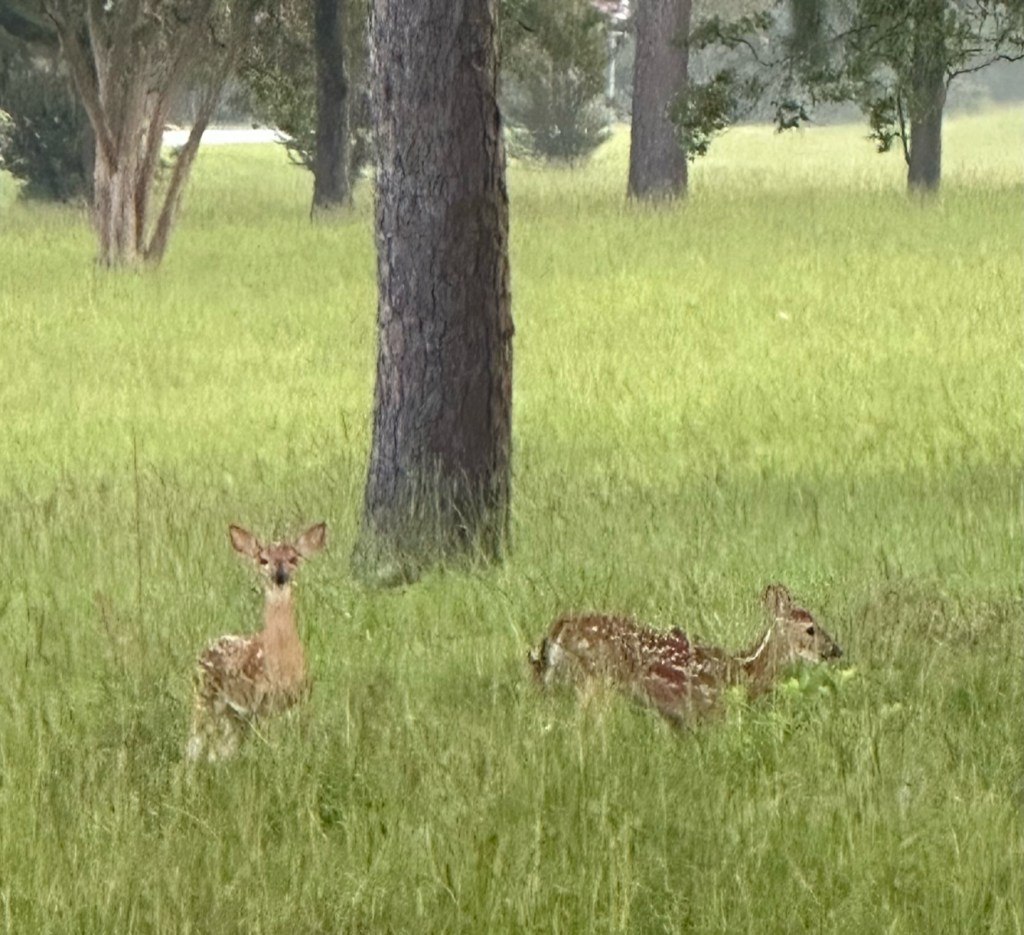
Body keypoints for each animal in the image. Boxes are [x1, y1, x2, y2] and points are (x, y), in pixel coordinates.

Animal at [185, 522, 326, 762]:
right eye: (263, 560)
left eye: (293, 558)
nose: (280, 575)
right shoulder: (261, 702)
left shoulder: (299, 699)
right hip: (205, 699)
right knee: (195, 745)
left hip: (234, 716)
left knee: (220, 751)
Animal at [528, 583, 842, 726]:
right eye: (810, 629)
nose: (835, 650)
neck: (745, 670)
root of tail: (558, 628)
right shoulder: (708, 711)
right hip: (595, 680)